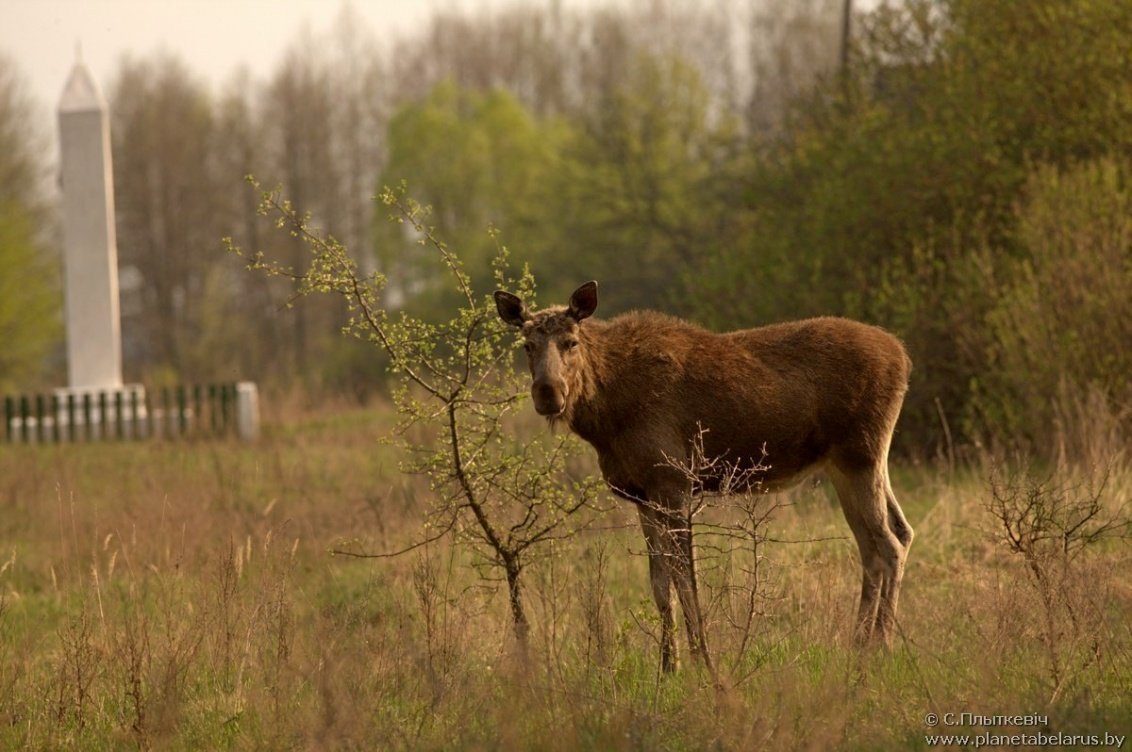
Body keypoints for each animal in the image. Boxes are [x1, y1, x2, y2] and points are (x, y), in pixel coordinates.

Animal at [493, 282, 910, 670]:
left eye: (571, 342)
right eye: (527, 345)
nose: (548, 392)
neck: (605, 416)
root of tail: (903, 358)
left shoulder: (674, 482)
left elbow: (685, 578)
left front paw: (703, 662)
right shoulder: (643, 494)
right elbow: (660, 584)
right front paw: (668, 666)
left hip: (860, 455)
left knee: (888, 543)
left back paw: (883, 645)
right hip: (852, 464)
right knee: (889, 537)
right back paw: (860, 643)